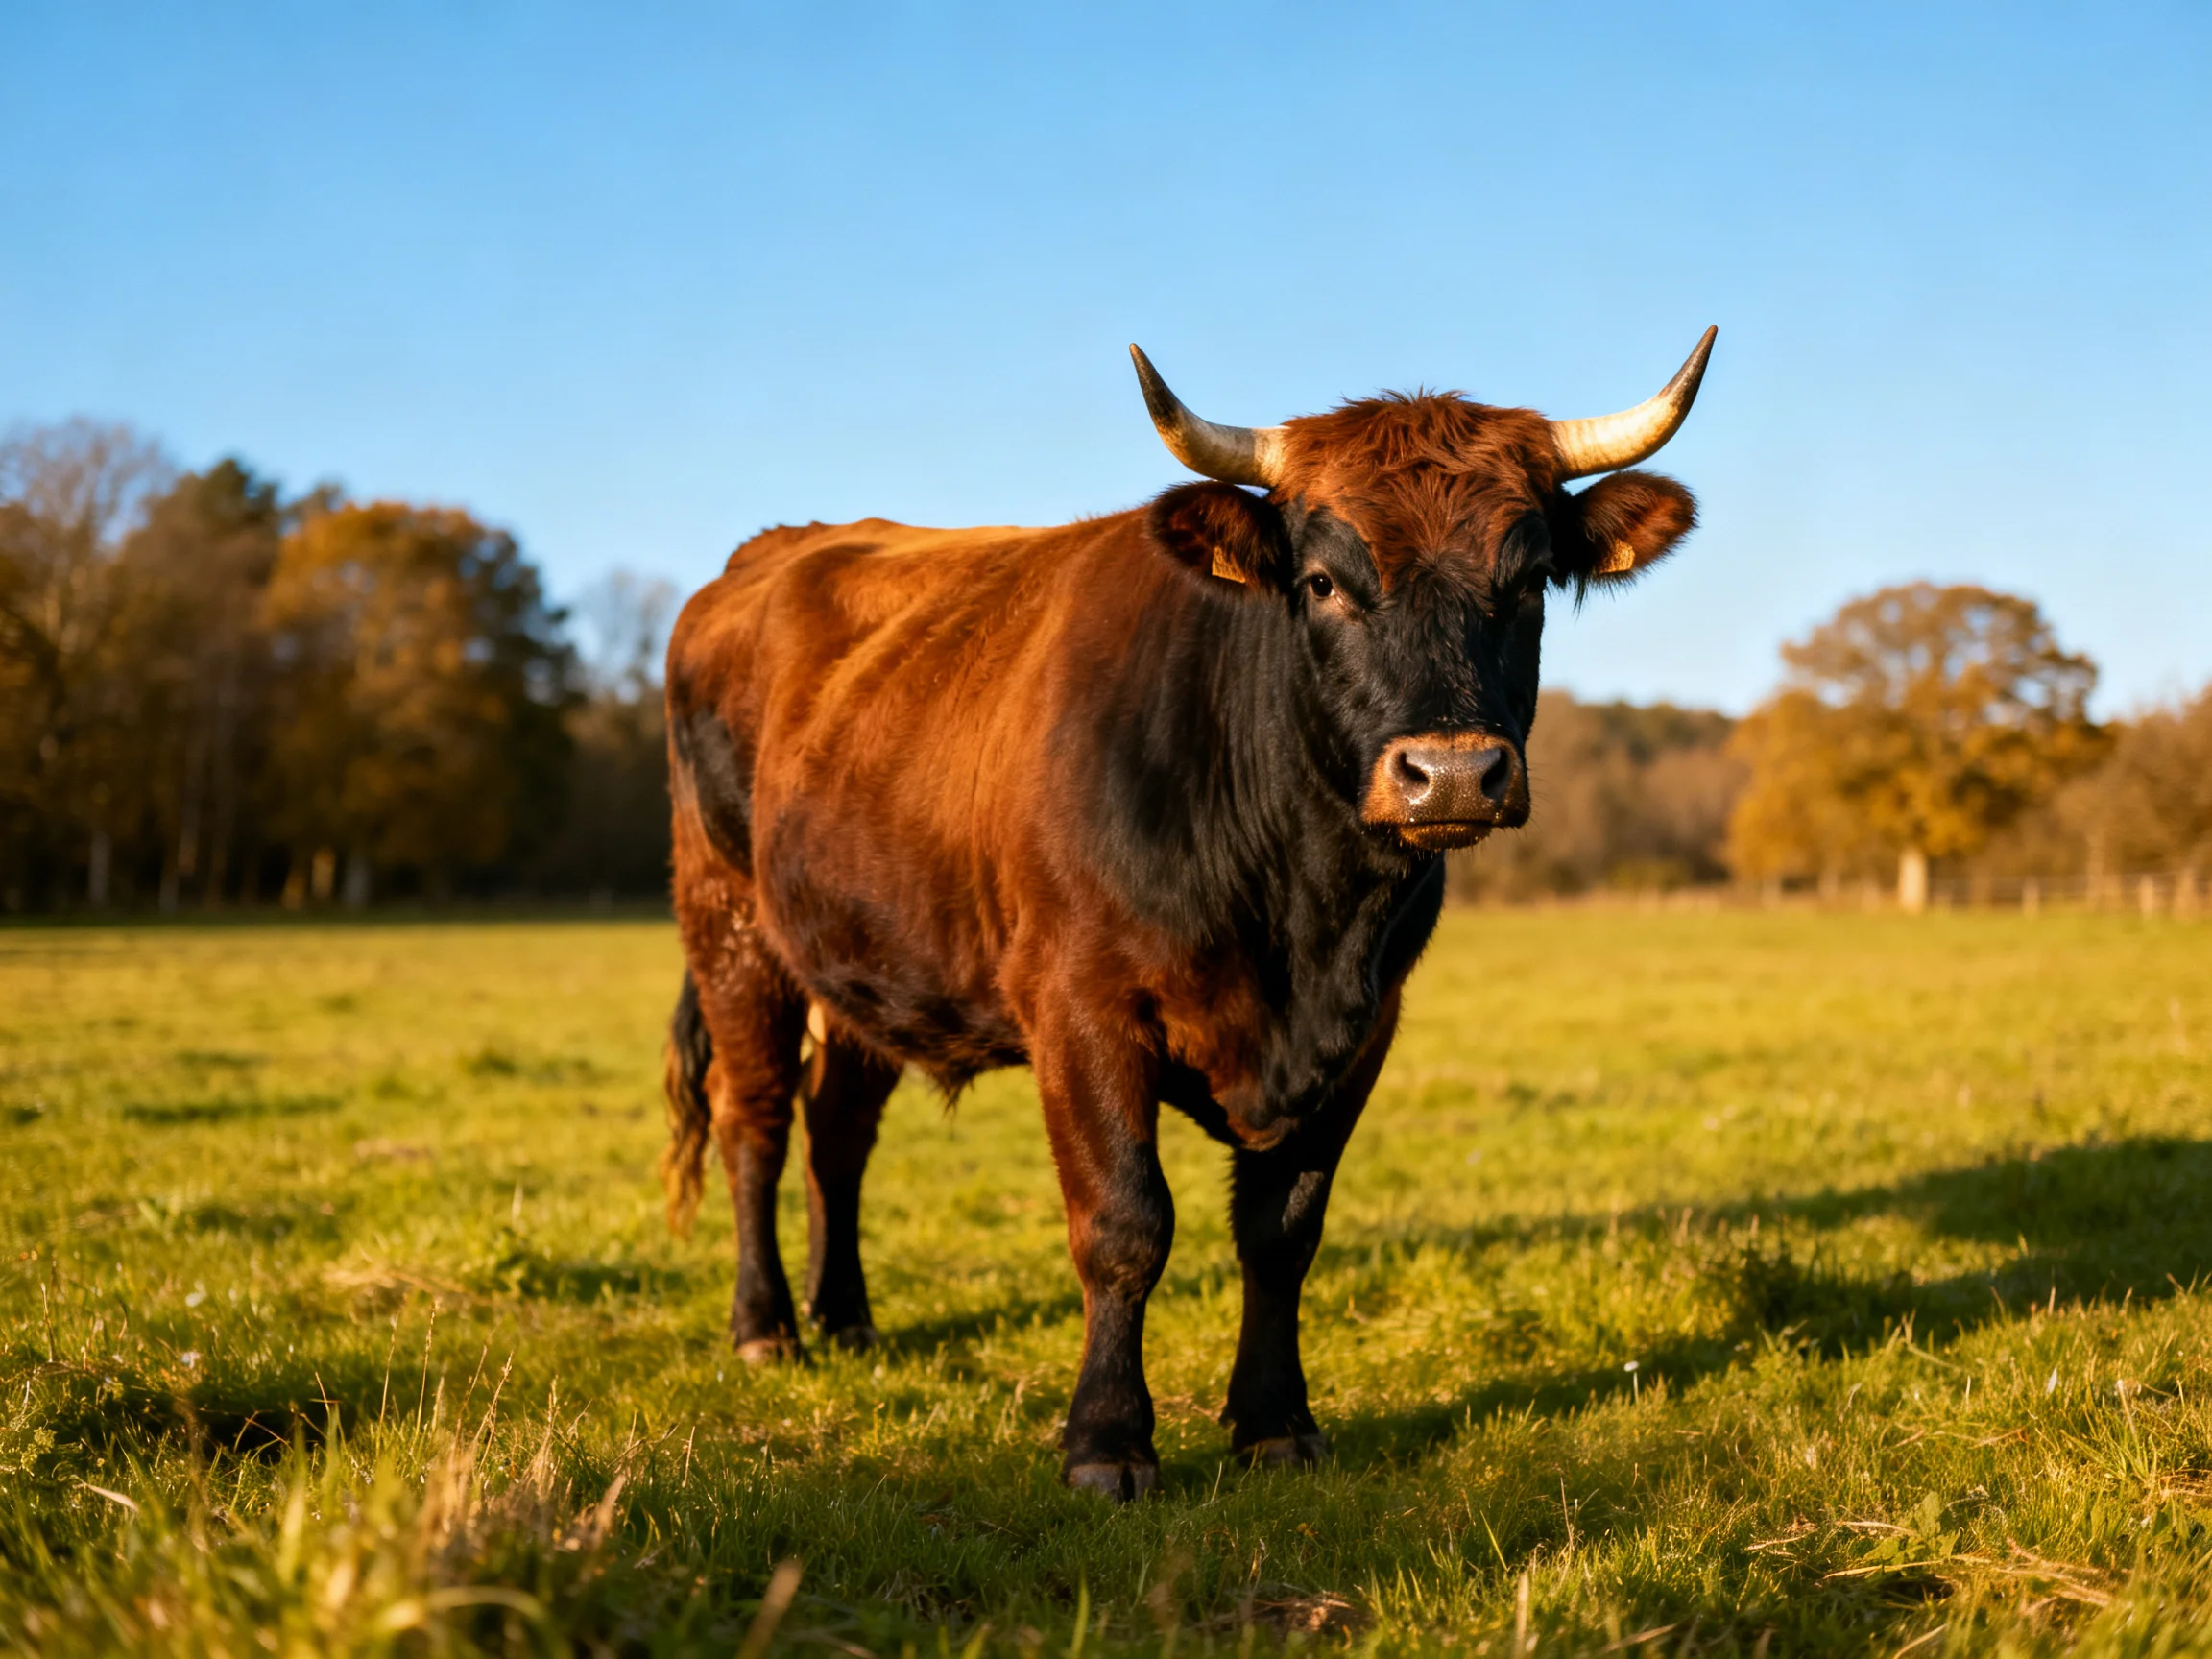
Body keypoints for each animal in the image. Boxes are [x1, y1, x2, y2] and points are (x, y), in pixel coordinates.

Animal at [659, 331, 1714, 1498]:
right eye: (1321, 581)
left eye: (1527, 581)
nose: (1450, 775)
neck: (1298, 915)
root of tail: (764, 556)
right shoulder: (1080, 1008)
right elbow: (1125, 1223)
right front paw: (1107, 1441)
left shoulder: (1365, 1027)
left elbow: (1283, 1230)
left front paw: (1275, 1422)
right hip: (729, 925)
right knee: (755, 1118)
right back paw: (766, 1328)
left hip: (866, 964)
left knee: (837, 1134)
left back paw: (846, 1320)